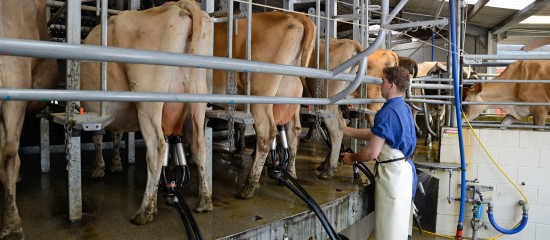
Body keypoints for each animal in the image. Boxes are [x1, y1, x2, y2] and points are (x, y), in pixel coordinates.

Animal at [81, 0, 215, 225]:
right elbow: (115, 135)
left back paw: (145, 210)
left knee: (157, 148)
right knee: (200, 145)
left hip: (148, 100)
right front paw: (114, 164)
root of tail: (179, 5)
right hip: (198, 96)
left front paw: (98, 168)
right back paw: (205, 201)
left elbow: (98, 137)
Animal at [212, 11, 316, 199]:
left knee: (267, 132)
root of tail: (296, 16)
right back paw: (289, 174)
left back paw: (249, 187)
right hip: (289, 94)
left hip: (260, 92)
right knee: (293, 130)